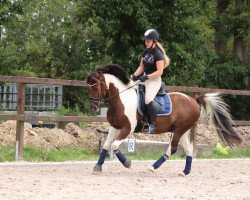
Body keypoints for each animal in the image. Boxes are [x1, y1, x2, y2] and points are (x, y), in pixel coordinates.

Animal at [86, 64, 242, 175]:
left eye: (95, 87)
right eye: (88, 88)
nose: (93, 107)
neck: (121, 98)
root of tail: (194, 100)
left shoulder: (127, 128)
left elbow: (114, 146)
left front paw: (127, 163)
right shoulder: (114, 126)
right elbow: (106, 145)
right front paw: (97, 167)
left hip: (179, 130)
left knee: (172, 149)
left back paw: (152, 167)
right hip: (182, 131)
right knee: (188, 149)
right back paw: (184, 172)